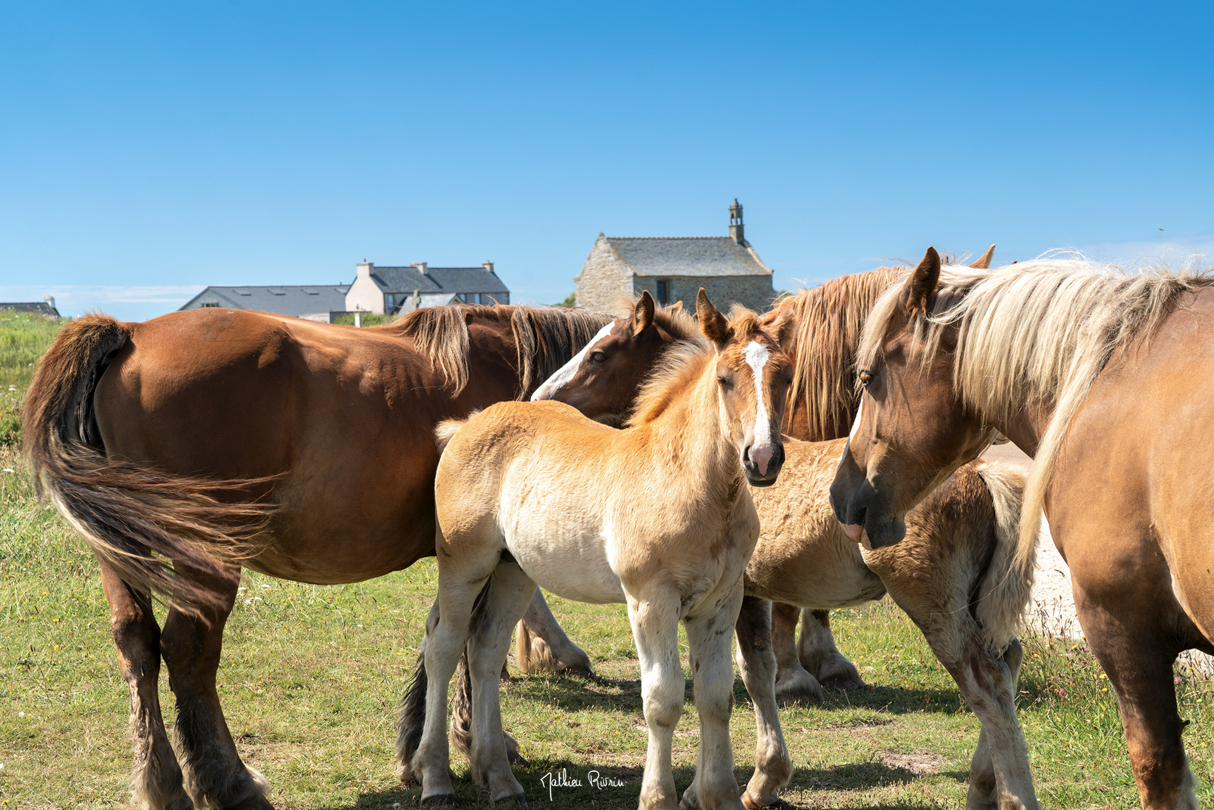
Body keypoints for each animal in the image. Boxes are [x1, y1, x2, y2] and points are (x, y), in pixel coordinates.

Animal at [26, 303, 616, 810]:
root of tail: (130, 331)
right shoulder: (483, 556)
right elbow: (470, 645)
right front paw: (472, 744)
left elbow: (443, 641)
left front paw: (421, 750)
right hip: (205, 555)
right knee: (189, 652)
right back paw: (229, 782)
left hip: (122, 547)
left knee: (137, 643)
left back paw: (163, 782)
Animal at [400, 292, 796, 810]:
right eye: (725, 380)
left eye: (785, 377)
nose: (763, 458)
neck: (689, 481)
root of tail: (466, 423)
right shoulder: (650, 601)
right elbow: (664, 699)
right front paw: (658, 798)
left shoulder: (720, 602)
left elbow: (716, 696)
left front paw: (722, 795)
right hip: (464, 565)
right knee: (443, 646)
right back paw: (435, 780)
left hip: (514, 571)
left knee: (485, 648)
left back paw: (501, 780)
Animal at [536, 292, 1039, 810]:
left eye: (599, 354)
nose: (543, 396)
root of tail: (984, 473)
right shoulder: (748, 594)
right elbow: (753, 672)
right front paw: (750, 779)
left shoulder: (735, 593)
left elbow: (746, 676)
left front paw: (734, 786)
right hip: (976, 602)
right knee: (1009, 660)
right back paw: (983, 783)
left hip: (931, 600)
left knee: (987, 684)